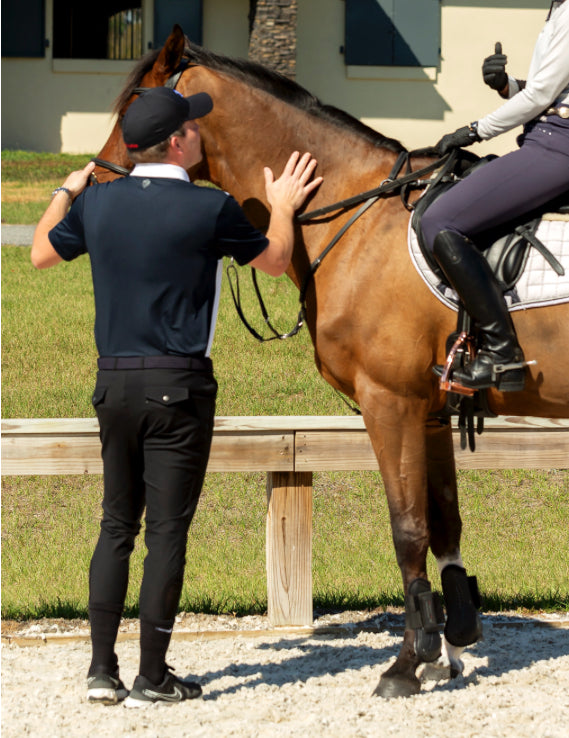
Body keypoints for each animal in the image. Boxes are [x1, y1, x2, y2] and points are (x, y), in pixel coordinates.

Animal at [92, 25, 569, 698]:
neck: (359, 215)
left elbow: (407, 529)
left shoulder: (389, 403)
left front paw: (406, 663)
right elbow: (444, 522)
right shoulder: (429, 410)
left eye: (133, 109)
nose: (94, 185)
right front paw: (450, 646)